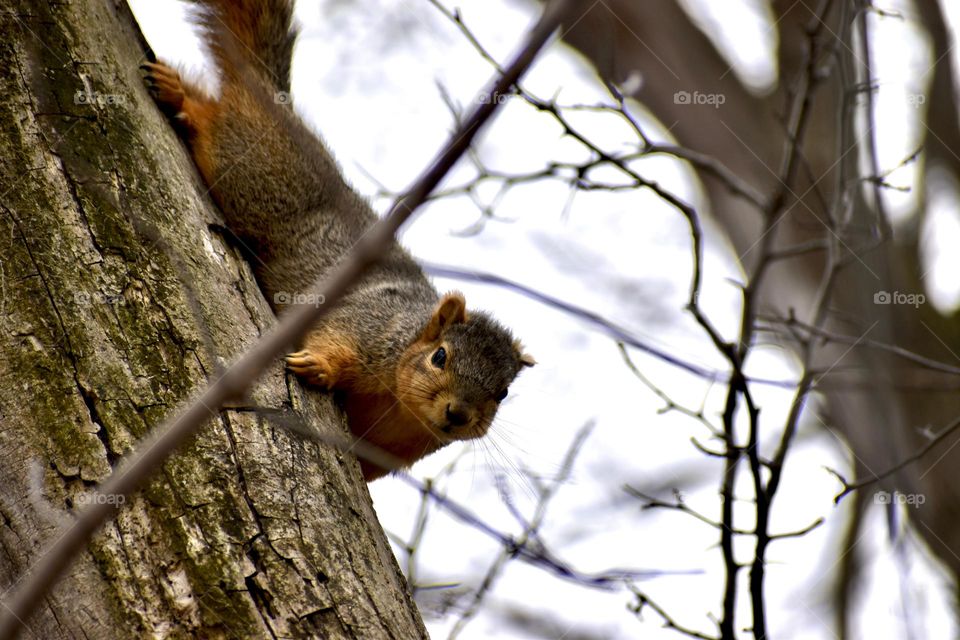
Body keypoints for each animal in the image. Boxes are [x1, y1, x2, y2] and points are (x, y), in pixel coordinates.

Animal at [142, 0, 535, 481]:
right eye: (440, 357)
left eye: (502, 393)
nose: (458, 414)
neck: (397, 406)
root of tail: (278, 102)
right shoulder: (368, 324)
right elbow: (334, 338)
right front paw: (318, 365)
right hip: (253, 170)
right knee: (219, 113)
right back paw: (177, 93)